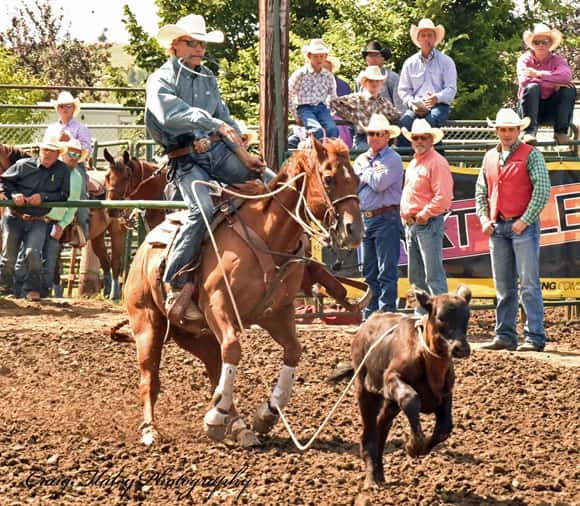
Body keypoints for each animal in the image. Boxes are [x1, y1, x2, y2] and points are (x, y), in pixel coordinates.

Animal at [125, 138, 364, 446]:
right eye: (329, 178)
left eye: (356, 179)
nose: (354, 230)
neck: (267, 236)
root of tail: (143, 248)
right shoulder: (218, 305)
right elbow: (234, 349)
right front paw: (216, 418)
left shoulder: (276, 313)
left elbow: (292, 352)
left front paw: (266, 414)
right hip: (147, 323)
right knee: (149, 378)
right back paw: (150, 431)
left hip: (196, 335)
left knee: (215, 367)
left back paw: (239, 427)